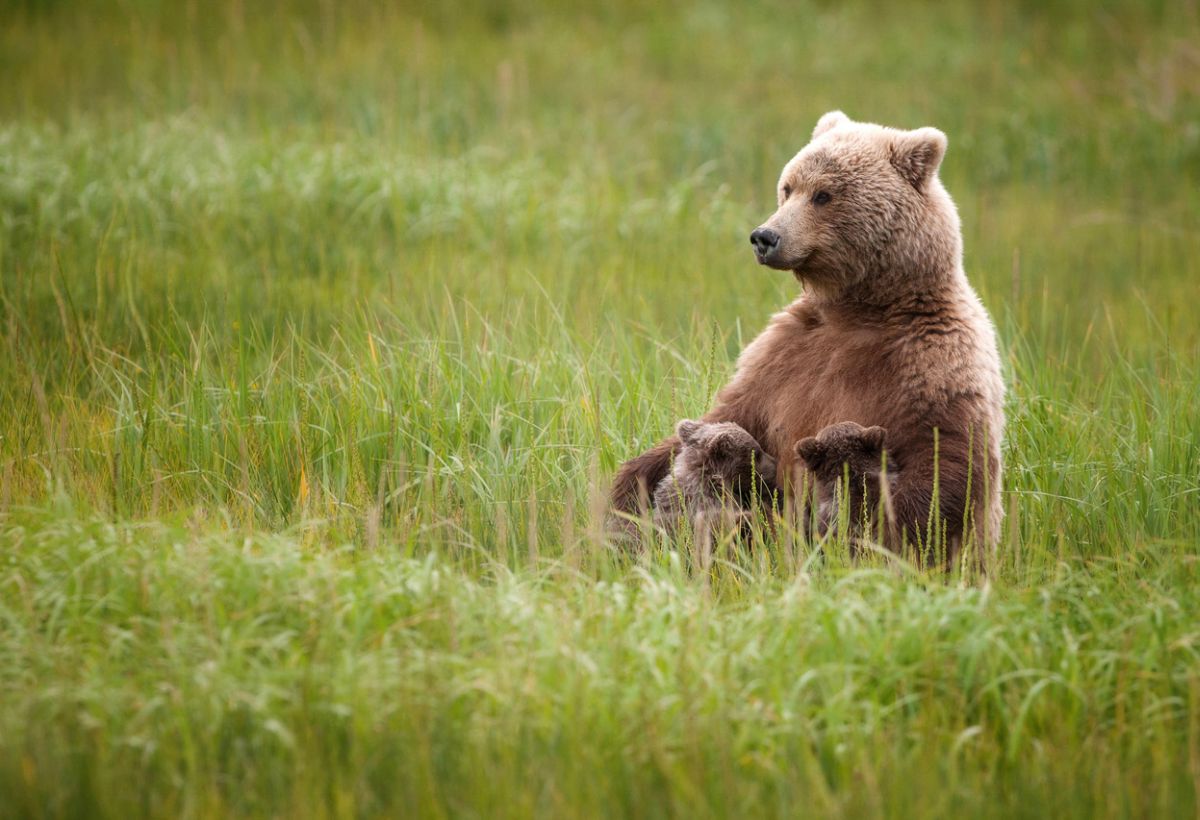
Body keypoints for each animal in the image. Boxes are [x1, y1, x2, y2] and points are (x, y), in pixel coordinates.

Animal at [614, 112, 1008, 566]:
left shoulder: (933, 362)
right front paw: (626, 497)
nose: (765, 236)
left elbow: (942, 466)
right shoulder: (784, 357)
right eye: (788, 188)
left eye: (823, 195)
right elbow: (725, 416)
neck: (862, 309)